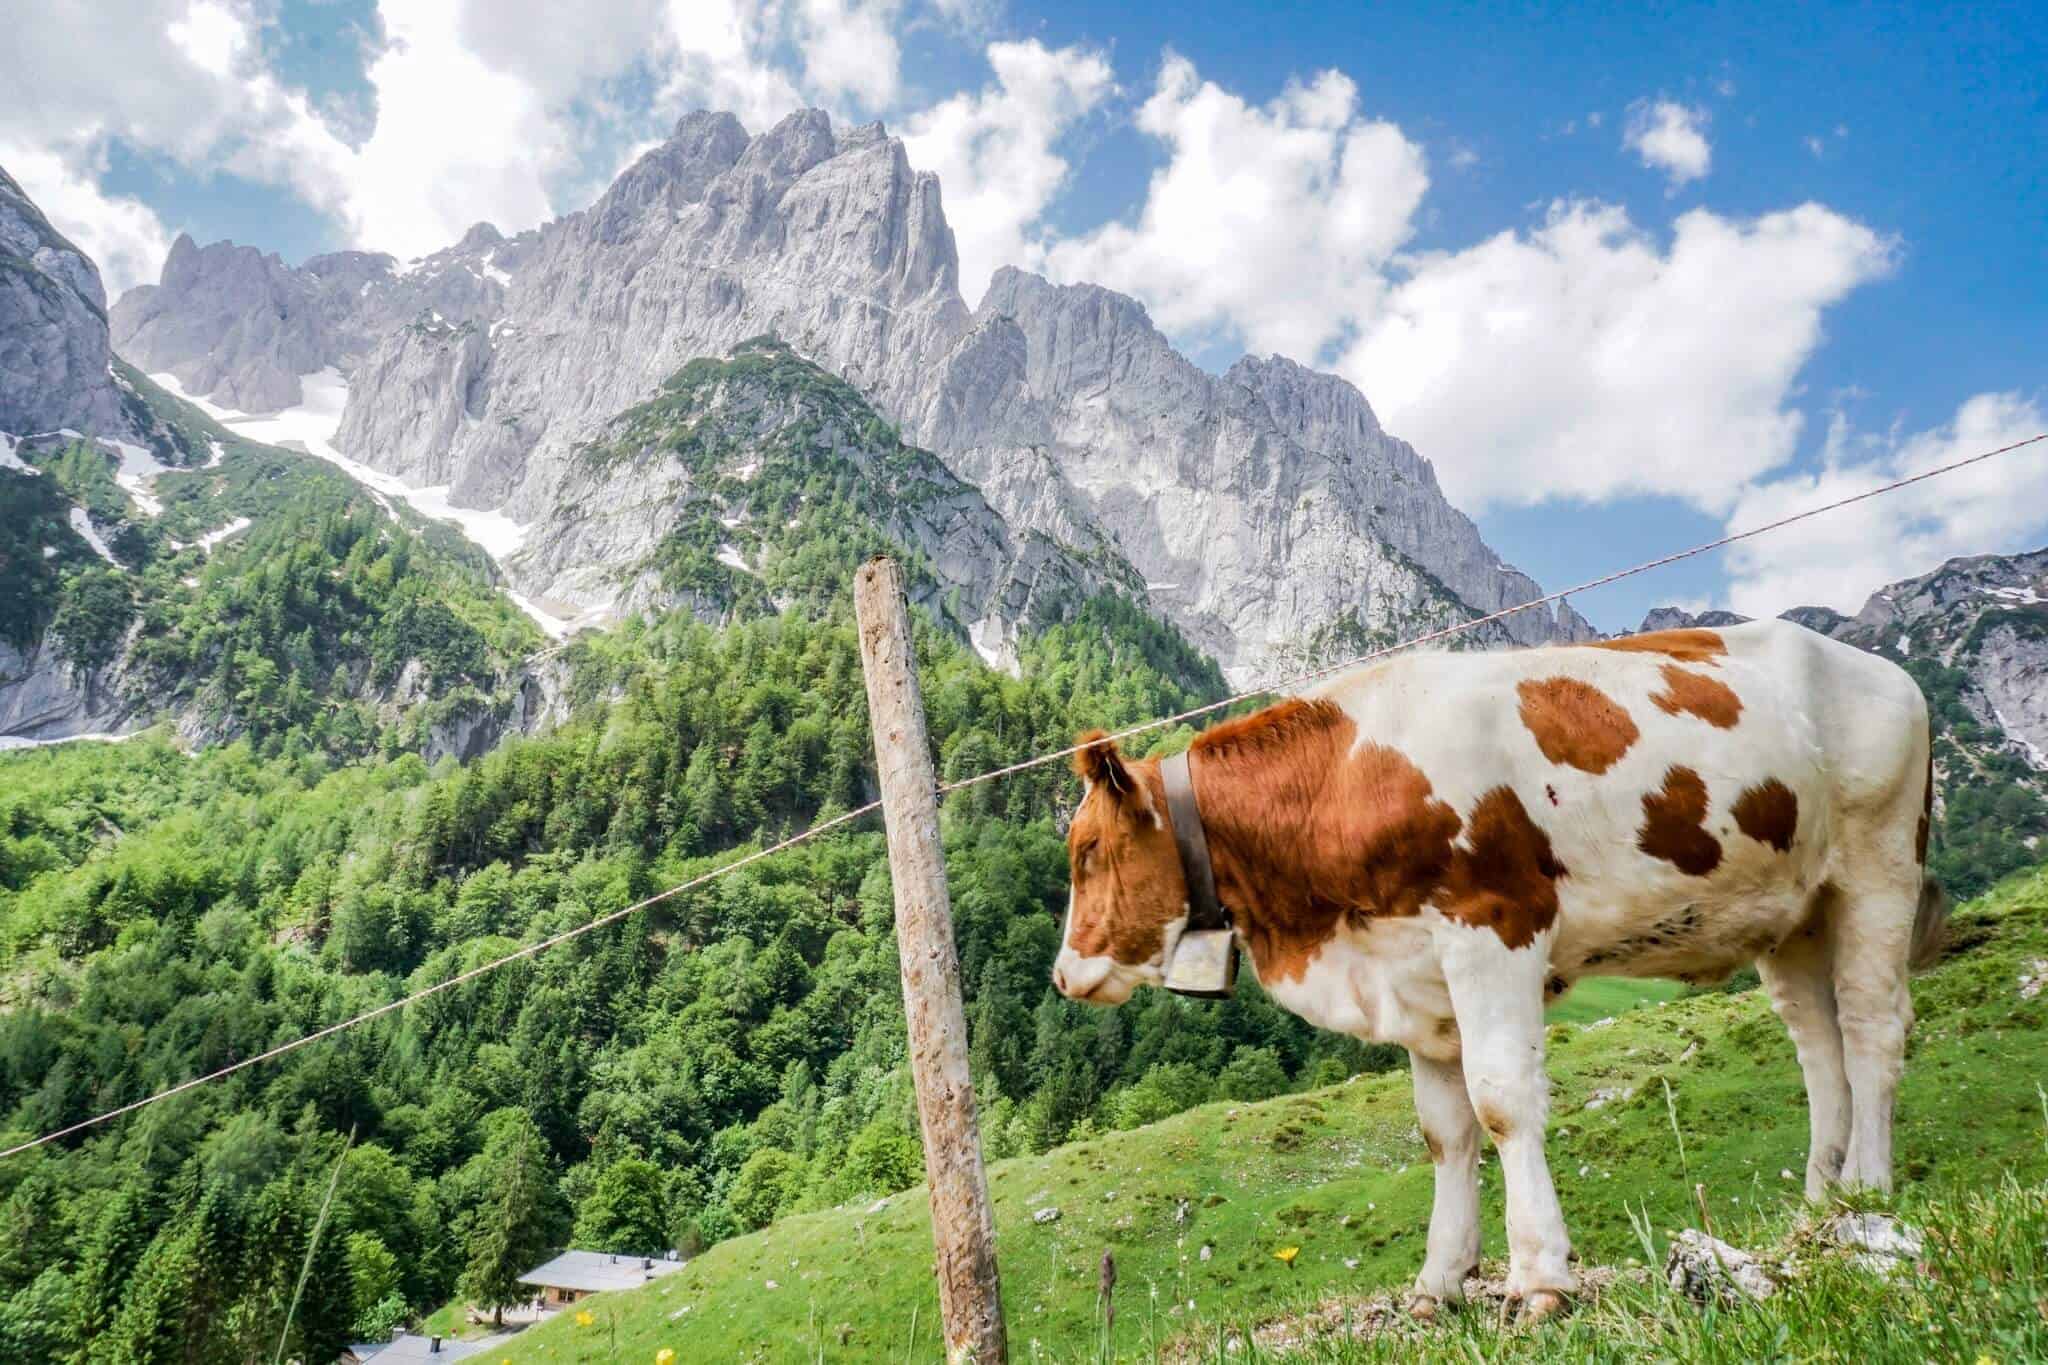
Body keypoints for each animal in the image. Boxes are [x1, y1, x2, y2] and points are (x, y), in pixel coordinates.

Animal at [1048, 626, 1941, 1317]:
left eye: (1087, 851)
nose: (1062, 975)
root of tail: (1879, 669)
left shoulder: (1495, 926)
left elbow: (1503, 1102)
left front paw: (1540, 1277)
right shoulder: (1413, 975)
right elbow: (1445, 1131)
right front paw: (1439, 1282)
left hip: (1878, 865)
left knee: (1870, 1028)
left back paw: (1867, 1190)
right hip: (1791, 913)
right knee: (1818, 1047)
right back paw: (1819, 1207)